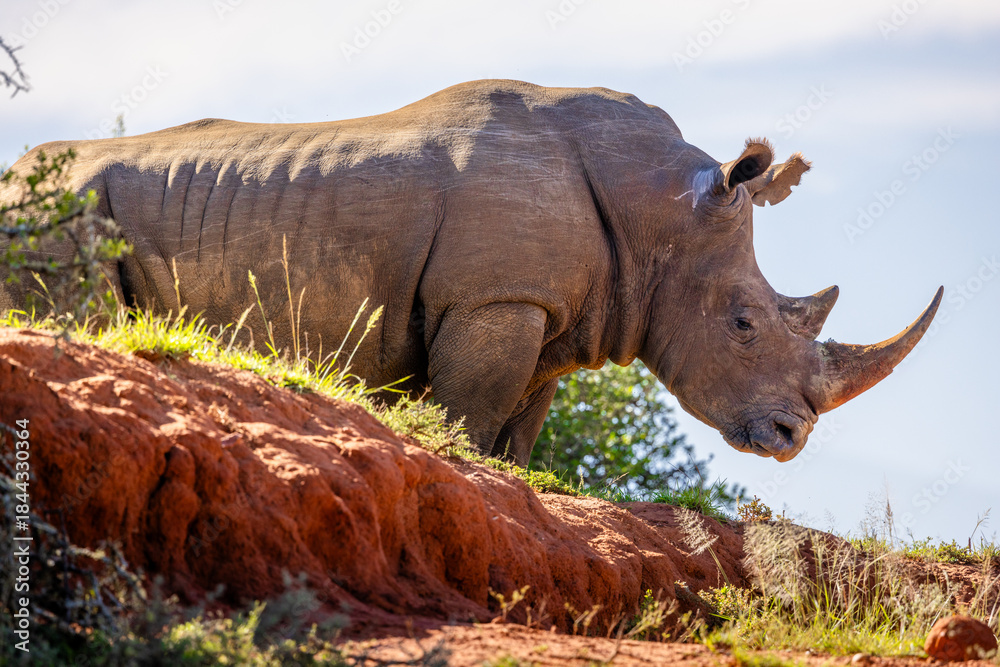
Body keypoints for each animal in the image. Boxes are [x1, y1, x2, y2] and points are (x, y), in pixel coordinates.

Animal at [0, 79, 941, 465]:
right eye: (744, 323)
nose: (791, 436)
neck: (660, 217)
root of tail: (14, 177)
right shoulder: (497, 298)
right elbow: (471, 411)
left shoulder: (558, 314)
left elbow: (518, 431)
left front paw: (520, 483)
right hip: (58, 208)